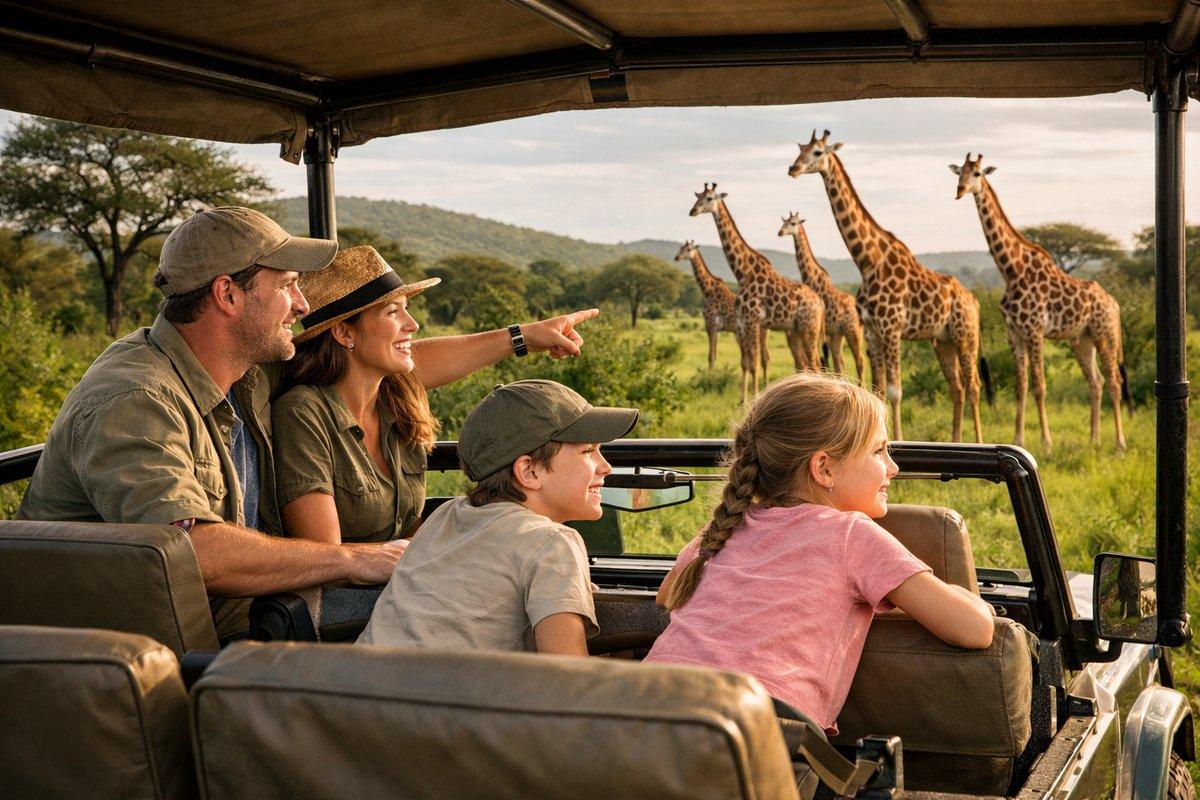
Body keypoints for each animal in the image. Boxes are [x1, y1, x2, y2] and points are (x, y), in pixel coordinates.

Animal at [675, 240, 738, 370]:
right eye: (680, 248)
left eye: (688, 249)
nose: (676, 257)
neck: (708, 291)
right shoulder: (711, 327)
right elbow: (713, 355)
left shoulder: (711, 324)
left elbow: (711, 356)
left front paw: (709, 374)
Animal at [689, 183, 825, 403]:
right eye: (697, 196)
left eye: (709, 198)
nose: (692, 211)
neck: (742, 272)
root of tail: (820, 302)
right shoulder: (743, 323)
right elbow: (746, 362)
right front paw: (742, 399)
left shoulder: (751, 321)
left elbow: (753, 363)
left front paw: (752, 398)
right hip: (795, 329)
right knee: (805, 364)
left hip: (809, 327)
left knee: (815, 364)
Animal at [777, 212, 867, 381]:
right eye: (783, 222)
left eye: (793, 223)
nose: (780, 232)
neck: (810, 276)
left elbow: (819, 361)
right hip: (839, 333)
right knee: (841, 363)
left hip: (853, 331)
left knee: (860, 361)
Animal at [788, 130, 988, 443]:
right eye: (801, 149)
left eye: (818, 152)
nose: (793, 168)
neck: (868, 261)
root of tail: (974, 301)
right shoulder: (872, 331)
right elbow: (878, 389)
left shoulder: (892, 329)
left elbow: (894, 391)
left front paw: (898, 439)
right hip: (943, 341)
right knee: (957, 387)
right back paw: (956, 440)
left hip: (965, 336)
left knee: (974, 385)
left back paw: (978, 441)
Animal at [951, 153, 1129, 450]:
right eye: (959, 173)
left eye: (977, 173)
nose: (960, 190)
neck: (1011, 269)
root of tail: (1114, 303)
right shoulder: (1014, 332)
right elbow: (1020, 386)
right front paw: (1018, 438)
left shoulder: (1035, 331)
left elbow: (1039, 385)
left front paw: (1046, 442)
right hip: (1082, 339)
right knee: (1096, 381)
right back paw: (1094, 439)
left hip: (1105, 334)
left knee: (1114, 380)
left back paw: (1119, 444)